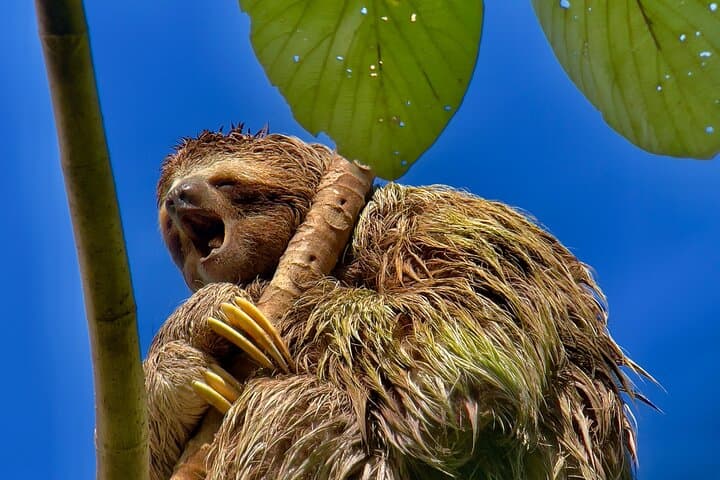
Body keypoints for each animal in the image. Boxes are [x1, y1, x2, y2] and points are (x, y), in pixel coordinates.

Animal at [145, 127, 647, 480]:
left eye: (226, 181)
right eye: (168, 222)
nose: (179, 197)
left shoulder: (432, 217)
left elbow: (460, 347)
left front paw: (247, 295)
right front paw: (180, 351)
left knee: (292, 404)